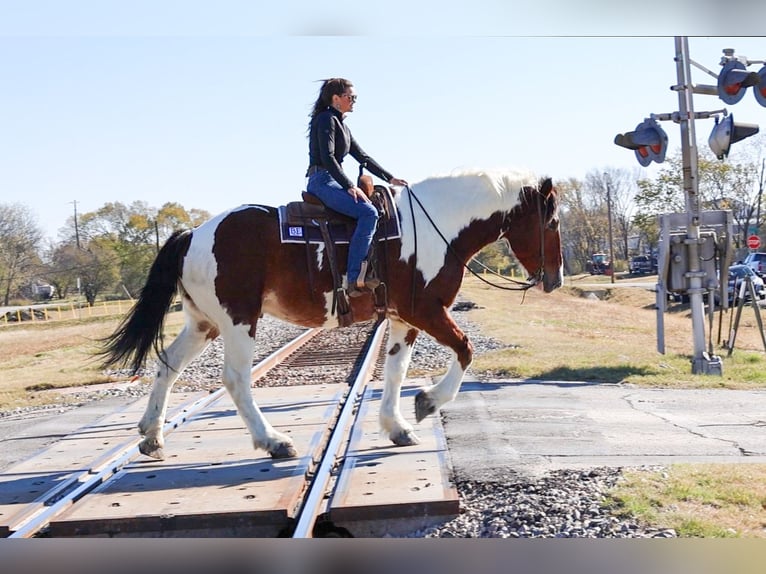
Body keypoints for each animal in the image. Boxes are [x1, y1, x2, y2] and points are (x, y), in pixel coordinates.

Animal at [99, 168, 563, 460]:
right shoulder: (426, 311)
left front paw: (397, 426)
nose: (555, 278)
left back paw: (152, 437)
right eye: (553, 221)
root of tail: (194, 234)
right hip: (238, 320)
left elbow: (394, 371)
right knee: (235, 379)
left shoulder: (402, 318)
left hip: (204, 323)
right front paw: (428, 402)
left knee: (168, 365)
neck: (437, 226)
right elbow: (465, 350)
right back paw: (274, 441)